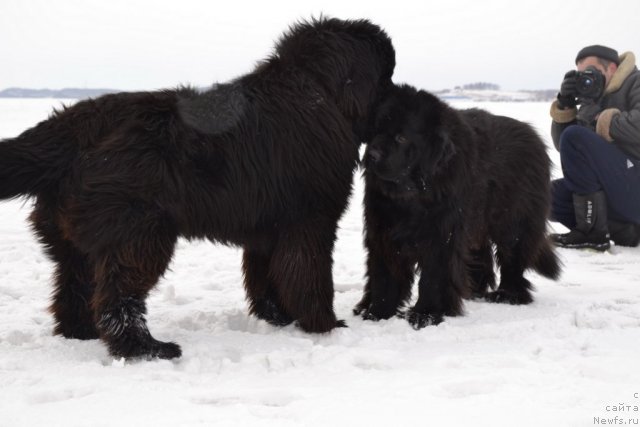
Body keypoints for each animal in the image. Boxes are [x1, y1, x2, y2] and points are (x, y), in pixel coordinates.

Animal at [0, 18, 396, 360]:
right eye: (387, 76)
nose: (399, 95)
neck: (320, 92)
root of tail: (69, 127)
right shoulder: (310, 222)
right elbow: (310, 278)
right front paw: (325, 326)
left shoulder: (268, 229)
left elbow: (267, 279)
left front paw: (279, 319)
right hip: (139, 234)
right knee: (118, 298)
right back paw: (146, 349)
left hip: (74, 239)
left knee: (74, 289)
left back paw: (82, 334)